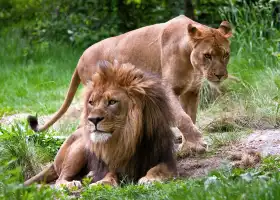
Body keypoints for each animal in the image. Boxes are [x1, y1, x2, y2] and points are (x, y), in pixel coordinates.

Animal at [24, 61, 177, 188]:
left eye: (112, 102)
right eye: (91, 102)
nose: (93, 119)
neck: (128, 138)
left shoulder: (166, 160)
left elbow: (157, 169)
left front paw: (150, 179)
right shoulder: (112, 163)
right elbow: (110, 173)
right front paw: (103, 182)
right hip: (79, 147)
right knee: (60, 179)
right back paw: (71, 183)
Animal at [28, 15, 232, 156]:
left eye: (225, 54)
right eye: (207, 55)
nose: (220, 75)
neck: (190, 60)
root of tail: (79, 59)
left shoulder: (191, 92)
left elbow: (191, 116)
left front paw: (188, 146)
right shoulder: (168, 88)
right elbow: (182, 117)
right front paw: (197, 143)